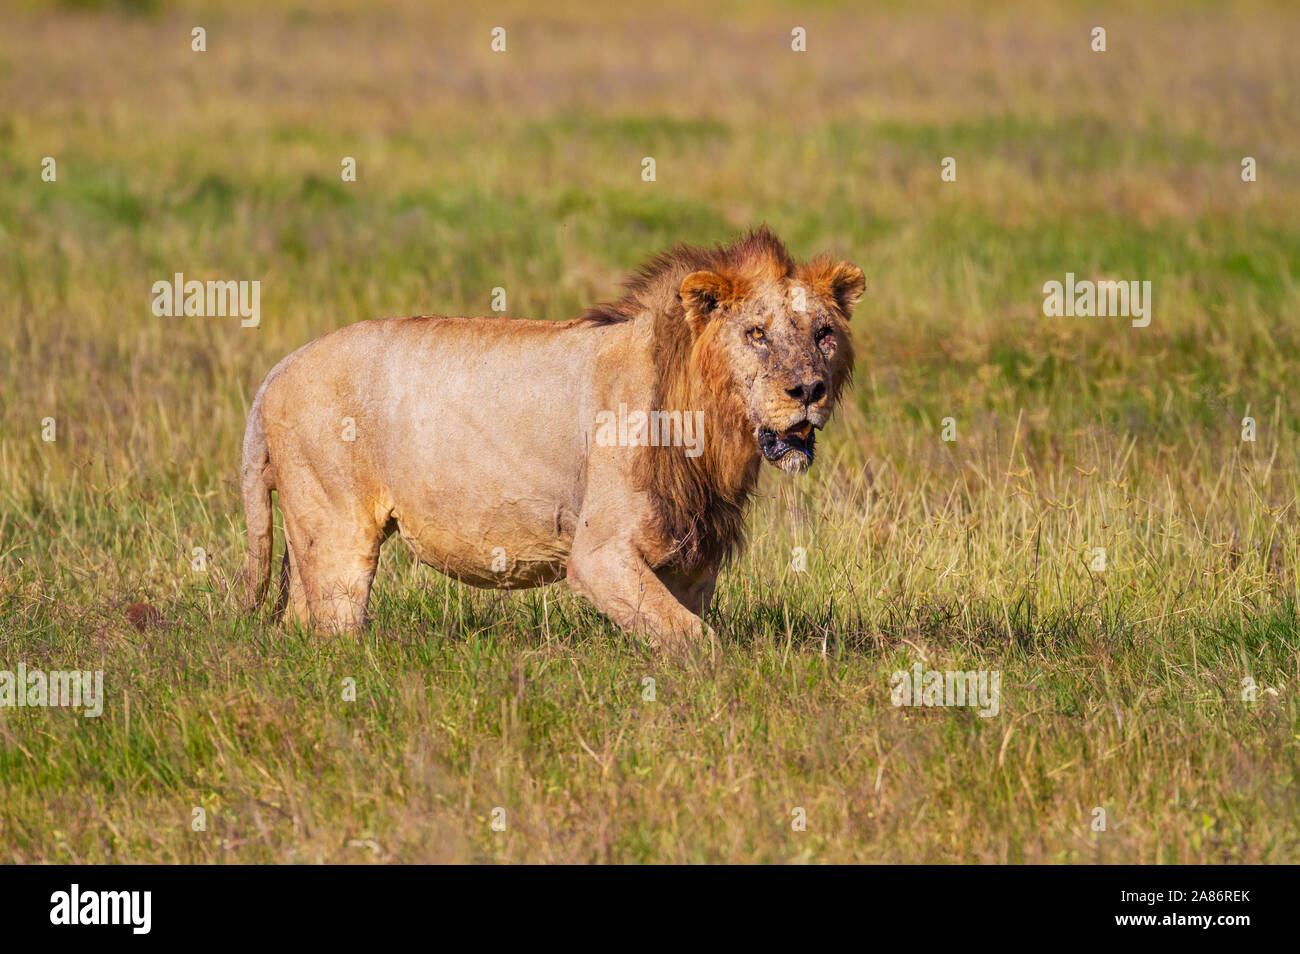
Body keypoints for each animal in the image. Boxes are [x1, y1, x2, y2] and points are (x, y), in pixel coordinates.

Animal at [241, 228, 864, 650]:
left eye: (823, 334)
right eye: (756, 334)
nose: (808, 389)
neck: (714, 431)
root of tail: (278, 368)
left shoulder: (694, 556)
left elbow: (678, 625)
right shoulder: (598, 554)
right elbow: (696, 640)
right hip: (337, 534)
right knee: (331, 629)